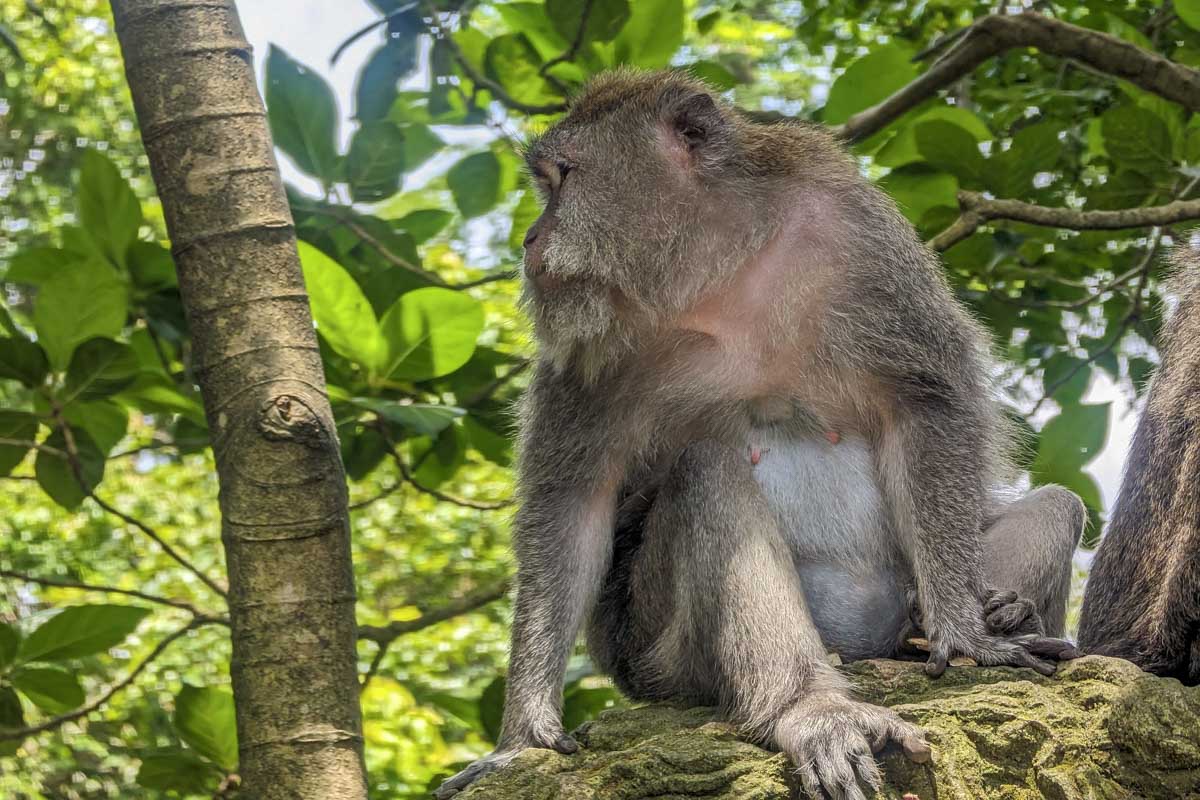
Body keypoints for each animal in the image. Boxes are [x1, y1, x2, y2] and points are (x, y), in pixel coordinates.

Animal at [435, 70, 1084, 800]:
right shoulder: (586, 341)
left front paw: (967, 628)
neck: (716, 266)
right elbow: (575, 505)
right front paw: (523, 735)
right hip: (662, 662)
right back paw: (808, 708)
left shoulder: (855, 229)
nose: (529, 239)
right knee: (709, 472)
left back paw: (982, 618)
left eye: (562, 179)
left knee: (1058, 504)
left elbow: (927, 401)